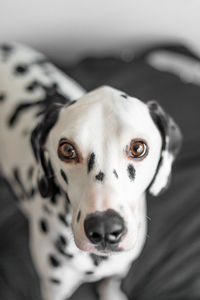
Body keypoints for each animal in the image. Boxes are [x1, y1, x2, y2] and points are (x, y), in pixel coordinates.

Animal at [0, 42, 181, 300]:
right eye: (67, 149)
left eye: (138, 148)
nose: (104, 228)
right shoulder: (54, 287)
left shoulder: (120, 268)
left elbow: (111, 283)